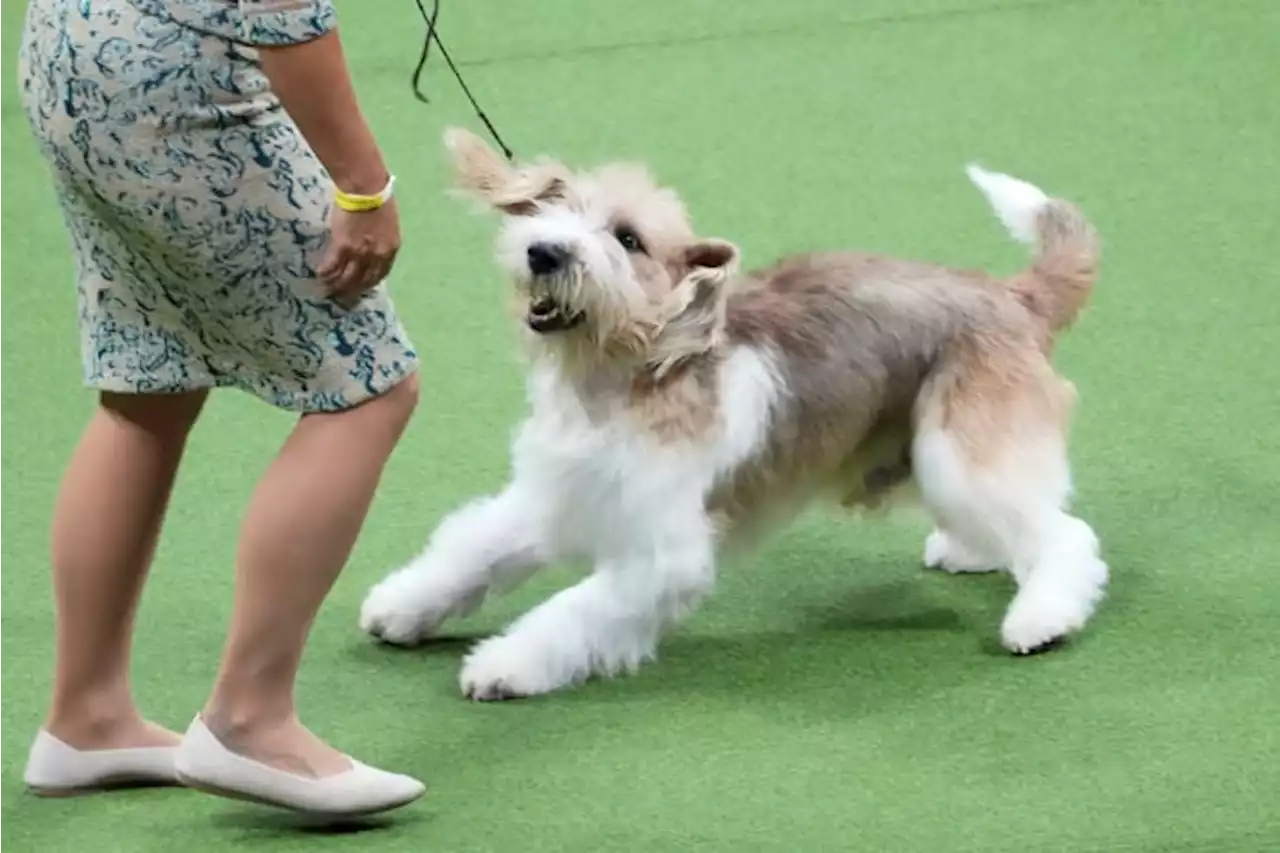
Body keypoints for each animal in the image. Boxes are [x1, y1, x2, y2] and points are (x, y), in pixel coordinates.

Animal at [360, 126, 1111, 696]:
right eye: (553, 205)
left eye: (627, 239)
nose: (544, 251)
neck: (619, 381)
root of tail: (1012, 295)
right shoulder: (553, 496)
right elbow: (471, 550)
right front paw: (399, 607)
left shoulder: (661, 555)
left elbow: (570, 611)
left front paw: (503, 665)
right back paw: (973, 554)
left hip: (961, 450)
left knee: (1066, 536)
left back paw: (1040, 619)